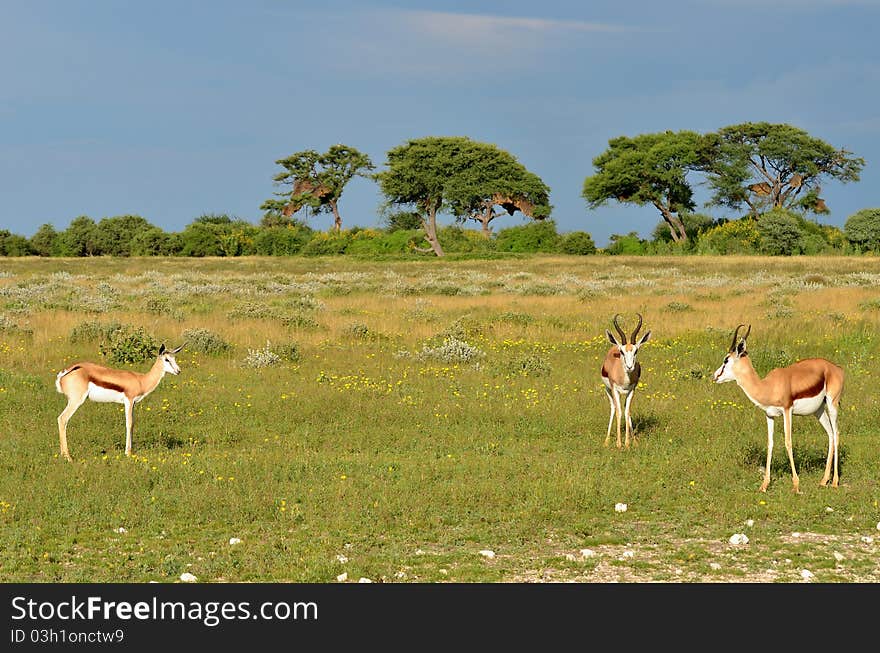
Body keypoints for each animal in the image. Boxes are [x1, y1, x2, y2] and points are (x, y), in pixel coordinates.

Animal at [53, 344, 184, 460]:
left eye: (174, 358)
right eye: (166, 359)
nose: (178, 371)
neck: (141, 380)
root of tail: (65, 374)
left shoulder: (133, 404)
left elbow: (133, 424)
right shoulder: (129, 401)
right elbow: (129, 424)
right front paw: (128, 453)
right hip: (76, 401)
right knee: (62, 419)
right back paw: (68, 457)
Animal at [600, 312, 648, 448]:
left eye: (636, 351)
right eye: (622, 351)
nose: (630, 367)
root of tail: (613, 347)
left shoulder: (632, 390)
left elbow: (627, 412)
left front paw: (628, 443)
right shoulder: (615, 389)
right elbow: (619, 412)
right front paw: (618, 444)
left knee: (625, 409)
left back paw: (634, 440)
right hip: (608, 390)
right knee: (613, 408)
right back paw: (606, 441)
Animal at [708, 324, 844, 492]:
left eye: (726, 359)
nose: (714, 376)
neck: (768, 387)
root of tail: (836, 368)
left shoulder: (787, 410)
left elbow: (788, 442)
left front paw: (796, 485)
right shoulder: (769, 415)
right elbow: (770, 443)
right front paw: (764, 485)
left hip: (832, 405)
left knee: (836, 433)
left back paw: (835, 482)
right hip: (818, 411)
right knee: (830, 434)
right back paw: (824, 480)